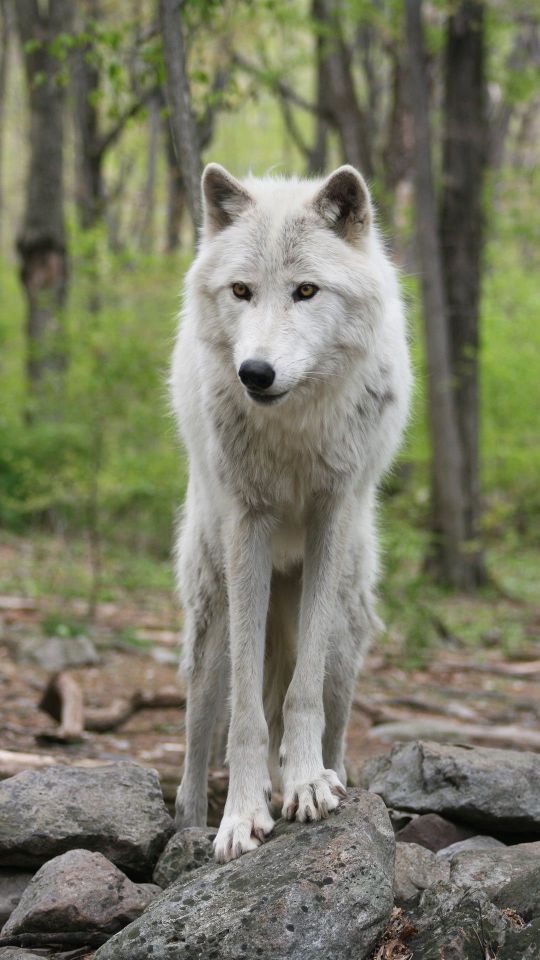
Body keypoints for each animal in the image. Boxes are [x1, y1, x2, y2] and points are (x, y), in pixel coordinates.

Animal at [171, 163, 412, 864]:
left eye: (306, 290)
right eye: (242, 291)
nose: (255, 372)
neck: (295, 427)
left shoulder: (330, 518)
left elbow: (300, 697)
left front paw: (305, 785)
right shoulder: (247, 527)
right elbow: (246, 719)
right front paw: (241, 816)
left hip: (346, 632)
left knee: (328, 716)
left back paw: (327, 776)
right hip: (213, 622)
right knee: (199, 737)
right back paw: (191, 823)